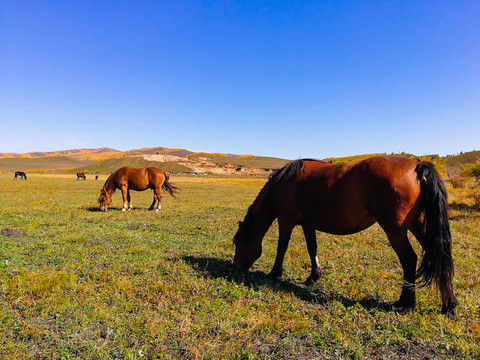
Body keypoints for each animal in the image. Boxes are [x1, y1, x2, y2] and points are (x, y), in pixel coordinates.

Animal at [234, 155, 460, 316]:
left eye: (237, 243)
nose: (236, 268)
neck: (287, 182)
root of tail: (418, 165)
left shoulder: (286, 220)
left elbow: (282, 248)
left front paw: (274, 274)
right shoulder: (308, 224)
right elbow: (312, 248)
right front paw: (313, 277)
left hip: (395, 230)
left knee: (409, 259)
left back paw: (405, 302)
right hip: (418, 225)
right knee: (440, 256)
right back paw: (449, 305)